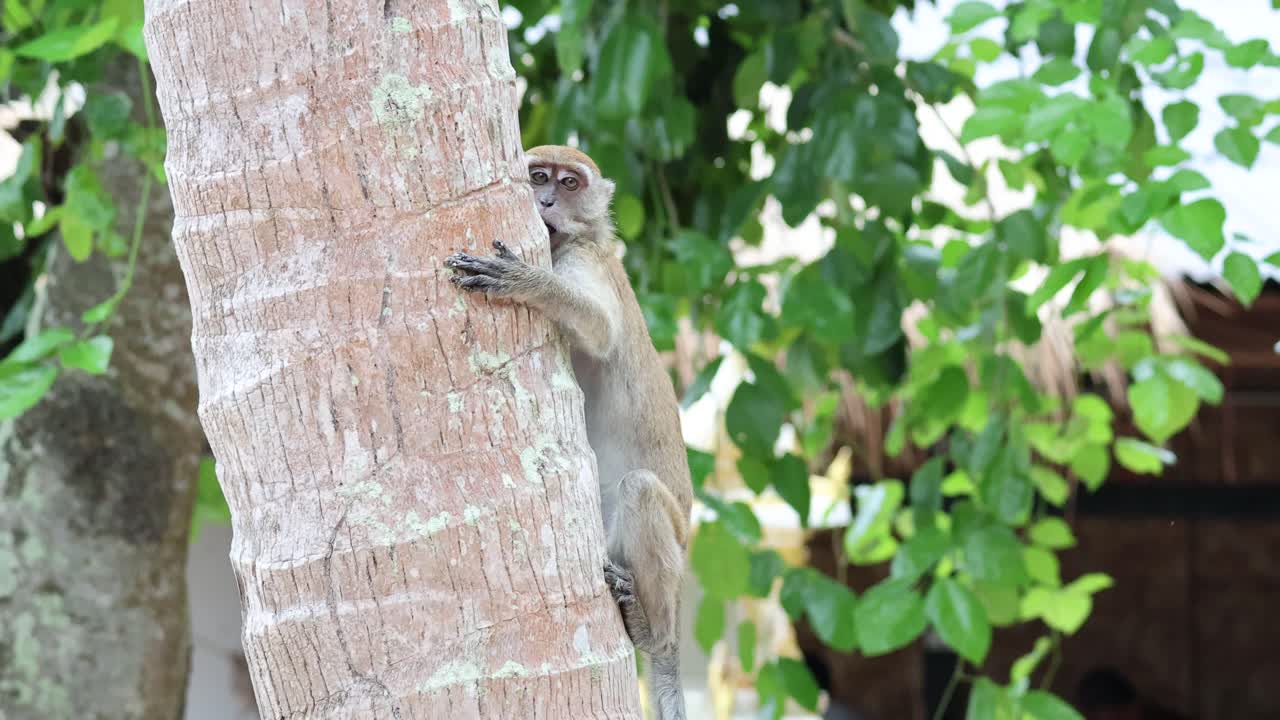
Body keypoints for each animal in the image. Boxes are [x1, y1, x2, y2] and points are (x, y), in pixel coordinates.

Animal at [444, 145, 693, 720]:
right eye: (537, 176)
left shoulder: (586, 261)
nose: (547, 200)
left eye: (569, 183)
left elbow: (600, 329)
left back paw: (656, 636)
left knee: (640, 490)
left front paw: (523, 282)